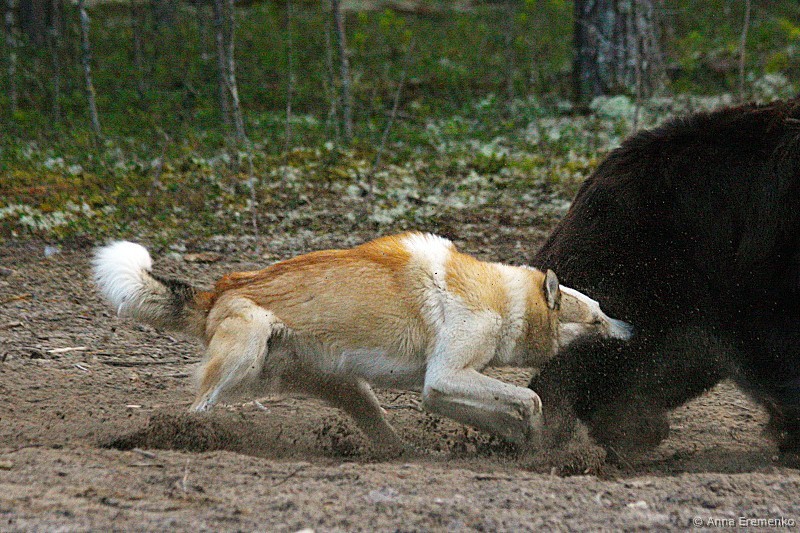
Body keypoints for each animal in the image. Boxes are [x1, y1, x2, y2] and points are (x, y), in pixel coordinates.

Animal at [93, 232, 633, 455]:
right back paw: (187, 438)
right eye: (597, 317)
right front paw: (537, 443)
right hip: (243, 357)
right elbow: (530, 399)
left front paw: (522, 442)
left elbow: (506, 410)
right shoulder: (445, 378)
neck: (502, 300)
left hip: (350, 390)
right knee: (199, 405)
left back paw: (407, 455)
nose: (630, 330)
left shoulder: (440, 389)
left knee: (383, 433)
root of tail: (220, 288)